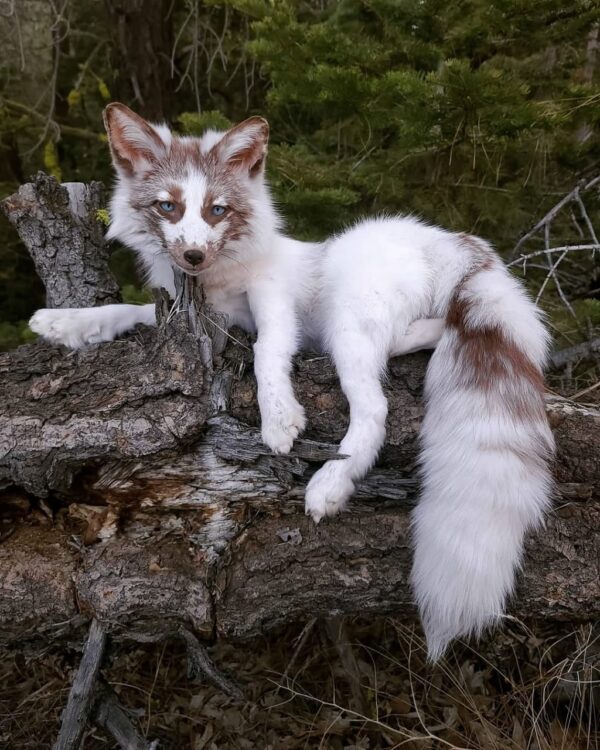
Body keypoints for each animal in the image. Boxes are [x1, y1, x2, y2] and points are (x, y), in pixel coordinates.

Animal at [30, 103, 554, 659]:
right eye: (168, 207)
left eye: (217, 210)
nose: (193, 256)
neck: (217, 282)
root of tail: (452, 241)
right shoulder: (198, 315)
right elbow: (128, 311)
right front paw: (65, 323)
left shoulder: (270, 296)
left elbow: (267, 352)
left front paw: (279, 418)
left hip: (348, 317)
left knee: (378, 406)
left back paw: (331, 483)